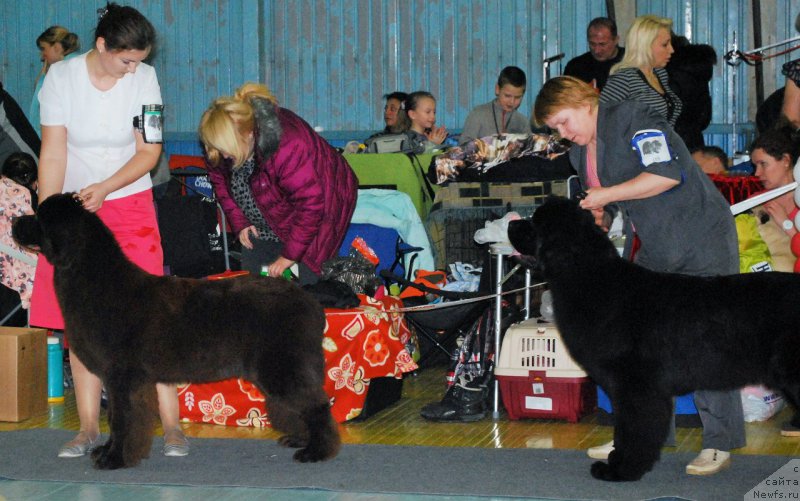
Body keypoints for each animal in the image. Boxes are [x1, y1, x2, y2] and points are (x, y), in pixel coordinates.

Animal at [12, 192, 340, 468]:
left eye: (39, 217)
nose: (15, 220)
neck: (94, 277)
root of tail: (308, 300)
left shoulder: (122, 376)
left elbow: (123, 418)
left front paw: (115, 458)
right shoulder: (115, 378)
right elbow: (115, 416)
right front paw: (107, 450)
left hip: (282, 366)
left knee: (316, 405)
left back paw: (317, 451)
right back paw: (299, 439)